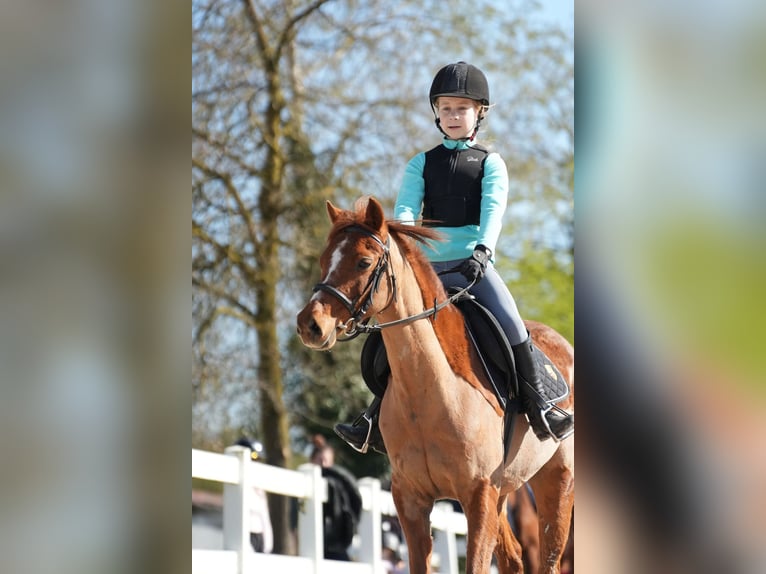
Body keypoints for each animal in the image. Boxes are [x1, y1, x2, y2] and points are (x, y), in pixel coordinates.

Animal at [296, 197, 574, 573]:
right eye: (325, 260)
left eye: (364, 261)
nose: (310, 324)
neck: (427, 392)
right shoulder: (411, 499)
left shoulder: (479, 495)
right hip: (506, 491)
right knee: (514, 558)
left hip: (556, 482)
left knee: (549, 559)